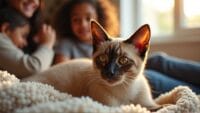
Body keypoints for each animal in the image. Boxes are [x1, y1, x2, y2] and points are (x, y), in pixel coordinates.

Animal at [23, 20, 161, 110]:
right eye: (103, 58)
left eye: (123, 60)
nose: (110, 72)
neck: (125, 89)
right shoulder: (110, 107)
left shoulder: (148, 104)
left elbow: (158, 106)